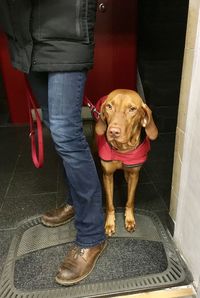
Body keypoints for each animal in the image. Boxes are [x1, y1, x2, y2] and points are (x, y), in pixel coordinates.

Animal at [95, 88, 158, 235]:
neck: (122, 150)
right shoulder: (107, 175)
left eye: (132, 109)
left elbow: (130, 200)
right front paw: (109, 223)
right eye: (109, 106)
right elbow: (110, 203)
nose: (113, 131)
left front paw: (129, 219)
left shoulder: (135, 174)